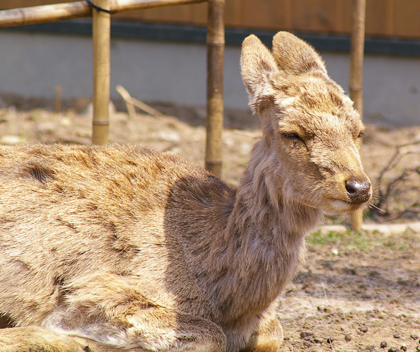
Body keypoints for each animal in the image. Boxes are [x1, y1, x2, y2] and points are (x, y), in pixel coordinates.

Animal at [0, 31, 370, 350]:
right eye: (292, 133)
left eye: (359, 130)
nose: (359, 187)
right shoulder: (93, 288)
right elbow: (210, 335)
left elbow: (272, 331)